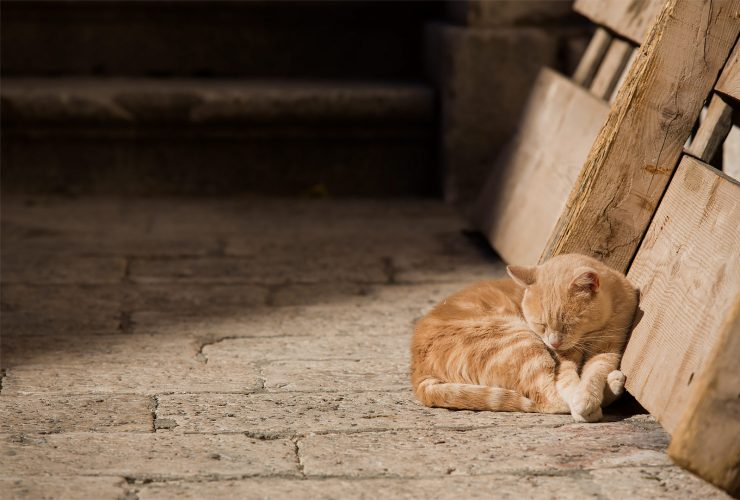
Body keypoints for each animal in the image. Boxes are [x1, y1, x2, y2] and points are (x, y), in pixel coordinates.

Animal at [414, 254, 640, 422]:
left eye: (568, 324)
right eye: (541, 324)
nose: (554, 342)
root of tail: (417, 369)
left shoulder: (608, 348)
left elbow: (594, 372)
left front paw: (587, 394)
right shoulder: (561, 359)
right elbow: (567, 382)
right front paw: (582, 402)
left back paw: (613, 384)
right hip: (523, 342)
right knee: (548, 400)